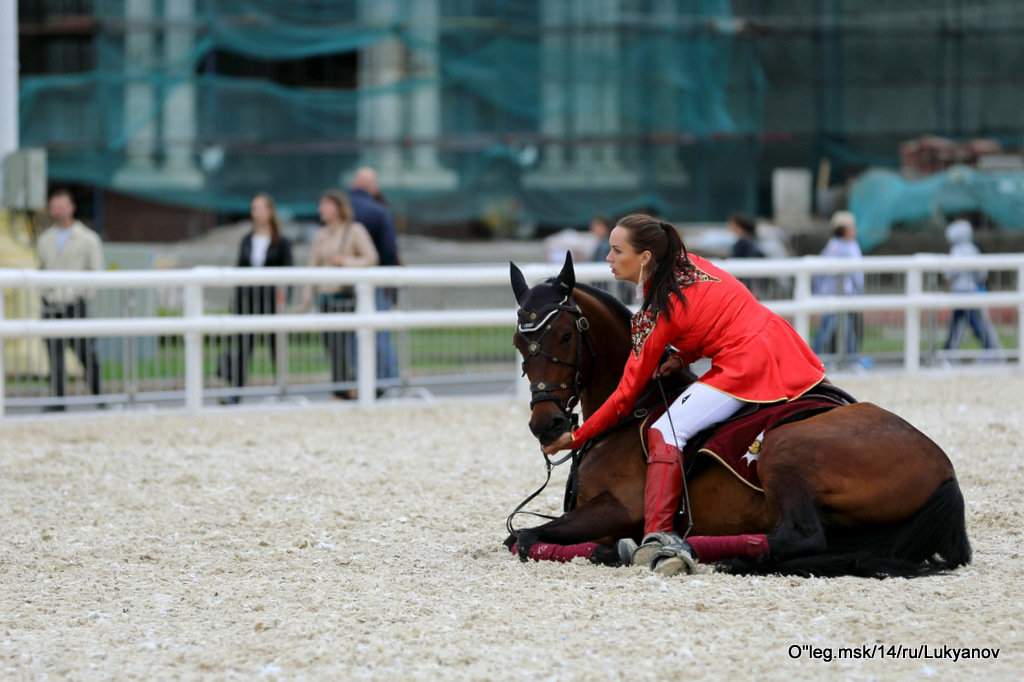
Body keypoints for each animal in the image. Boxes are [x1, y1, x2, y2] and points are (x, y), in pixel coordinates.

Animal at [507, 253, 970, 573]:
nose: (546, 424)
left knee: (800, 537)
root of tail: (944, 467)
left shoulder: (620, 508)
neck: (633, 409)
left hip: (786, 448)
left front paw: (622, 546)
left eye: (565, 336)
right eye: (517, 342)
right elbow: (519, 537)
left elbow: (523, 537)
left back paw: (690, 552)